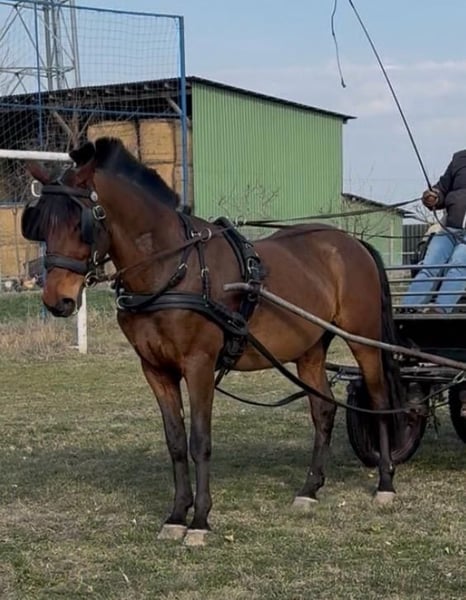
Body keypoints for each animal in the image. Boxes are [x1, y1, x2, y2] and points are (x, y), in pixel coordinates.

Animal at [23, 137, 403, 545]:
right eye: (42, 223)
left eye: (82, 224)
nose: (57, 301)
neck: (173, 268)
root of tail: (351, 243)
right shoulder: (155, 369)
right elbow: (175, 440)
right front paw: (177, 515)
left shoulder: (199, 365)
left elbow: (199, 440)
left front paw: (200, 520)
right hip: (310, 348)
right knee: (324, 409)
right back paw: (310, 489)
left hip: (364, 339)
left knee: (378, 401)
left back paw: (385, 483)